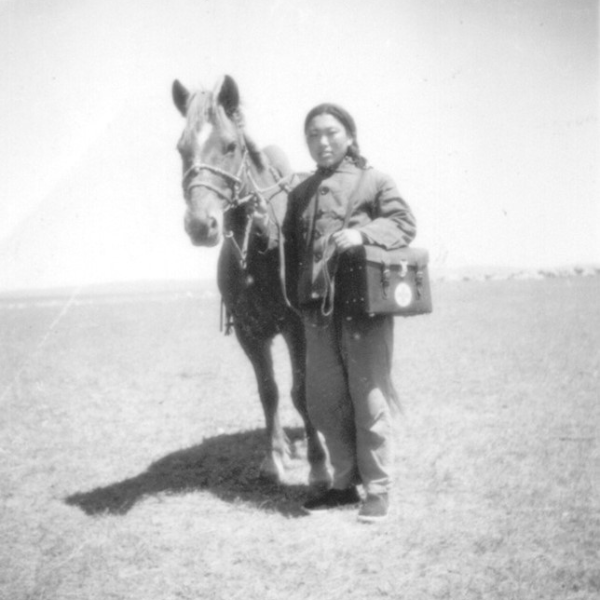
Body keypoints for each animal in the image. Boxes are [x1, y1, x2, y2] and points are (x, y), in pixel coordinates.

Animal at [171, 74, 330, 488]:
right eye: (181, 149)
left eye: (230, 146)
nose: (200, 225)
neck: (259, 244)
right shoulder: (249, 331)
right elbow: (269, 392)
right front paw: (273, 459)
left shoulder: (296, 328)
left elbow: (300, 391)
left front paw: (319, 465)